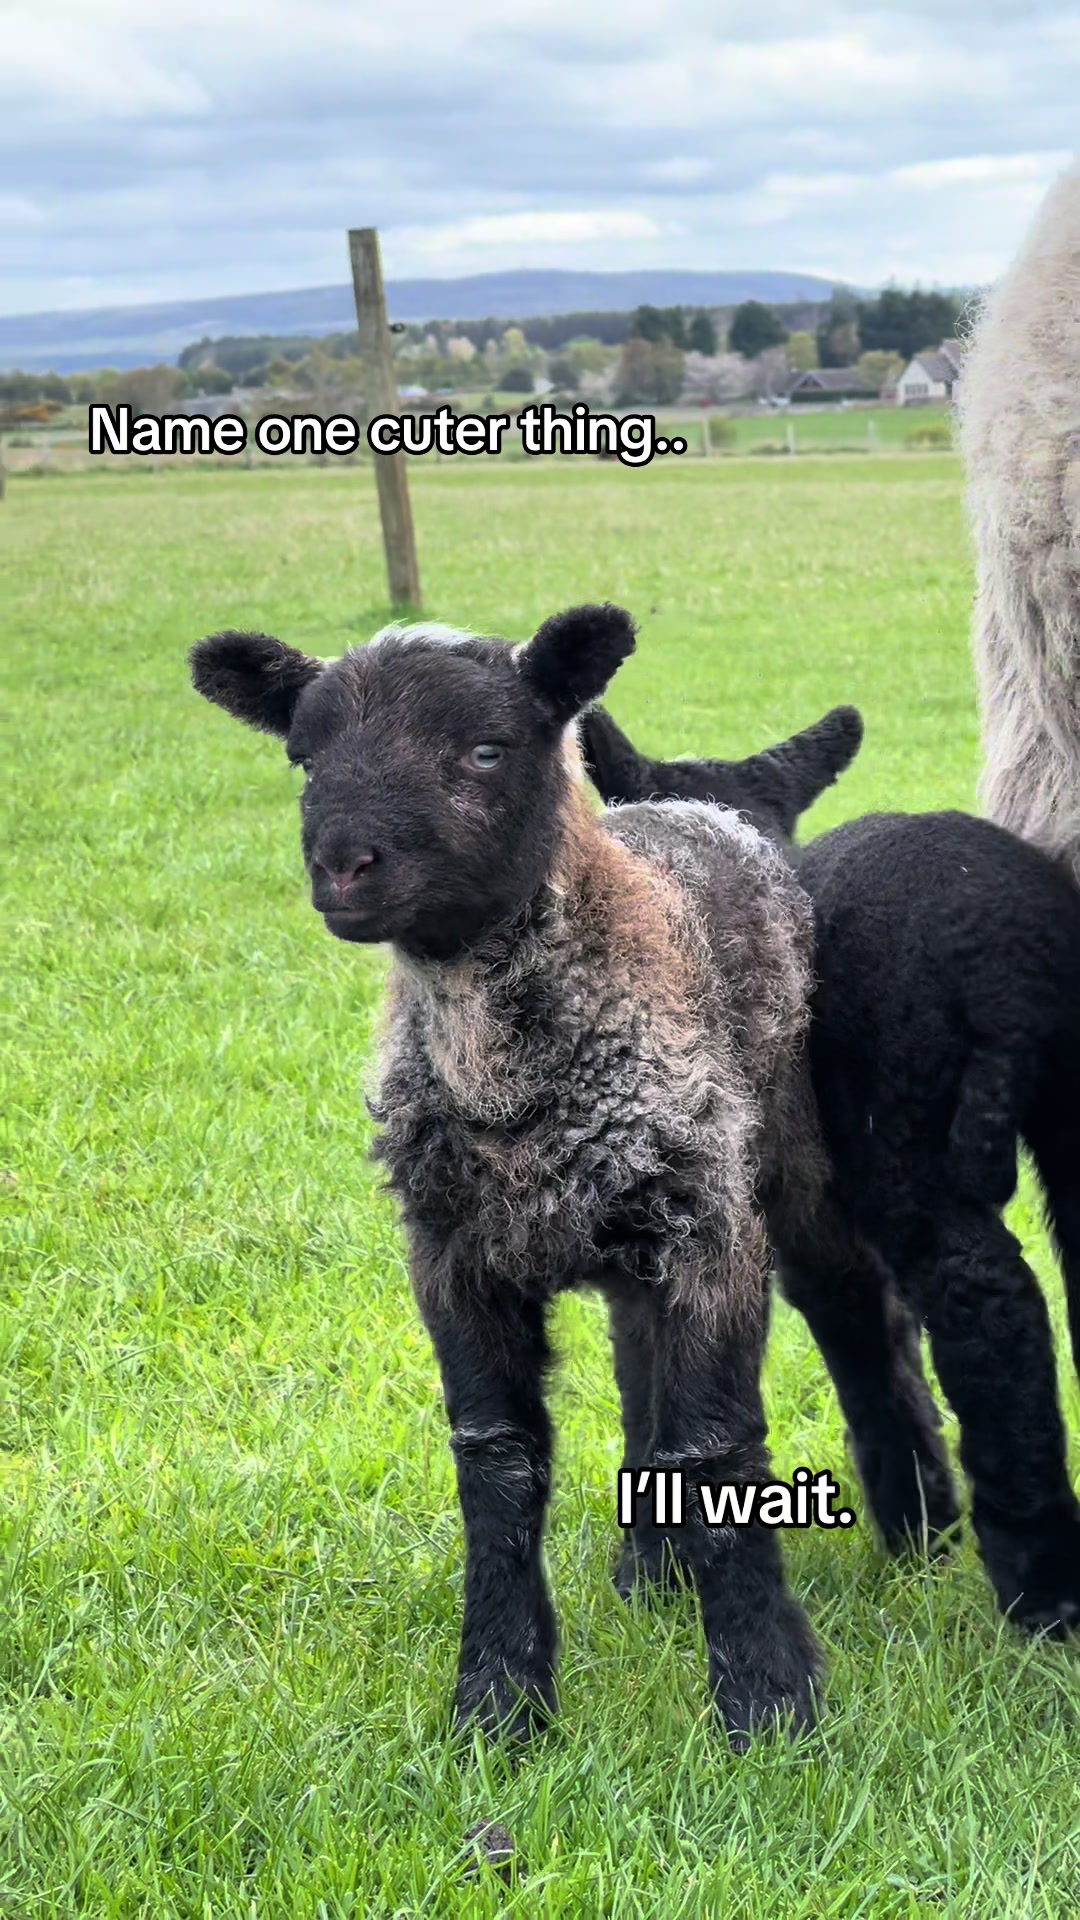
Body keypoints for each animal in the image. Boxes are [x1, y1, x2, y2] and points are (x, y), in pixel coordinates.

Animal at [189, 606, 828, 1748]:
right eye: (304, 758)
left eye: (486, 750)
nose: (344, 866)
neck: (507, 1085)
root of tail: (698, 804)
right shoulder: (450, 1254)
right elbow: (497, 1460)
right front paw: (497, 1705)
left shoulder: (709, 1231)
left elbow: (717, 1444)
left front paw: (768, 1702)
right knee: (637, 1369)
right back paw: (652, 1571)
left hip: (768, 1164)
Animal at [585, 711, 1080, 1634]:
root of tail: (1007, 967)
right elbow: (884, 1346)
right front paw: (925, 1530)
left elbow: (652, 1374)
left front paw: (651, 1574)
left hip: (906, 1130)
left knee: (990, 1309)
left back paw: (1041, 1591)